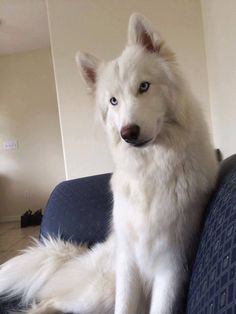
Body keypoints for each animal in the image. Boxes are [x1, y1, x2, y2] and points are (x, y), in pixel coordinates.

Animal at [0, 14, 218, 314]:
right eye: (113, 101)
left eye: (144, 86)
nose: (128, 133)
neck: (149, 171)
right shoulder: (127, 265)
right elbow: (124, 306)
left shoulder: (171, 266)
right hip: (99, 292)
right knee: (48, 302)